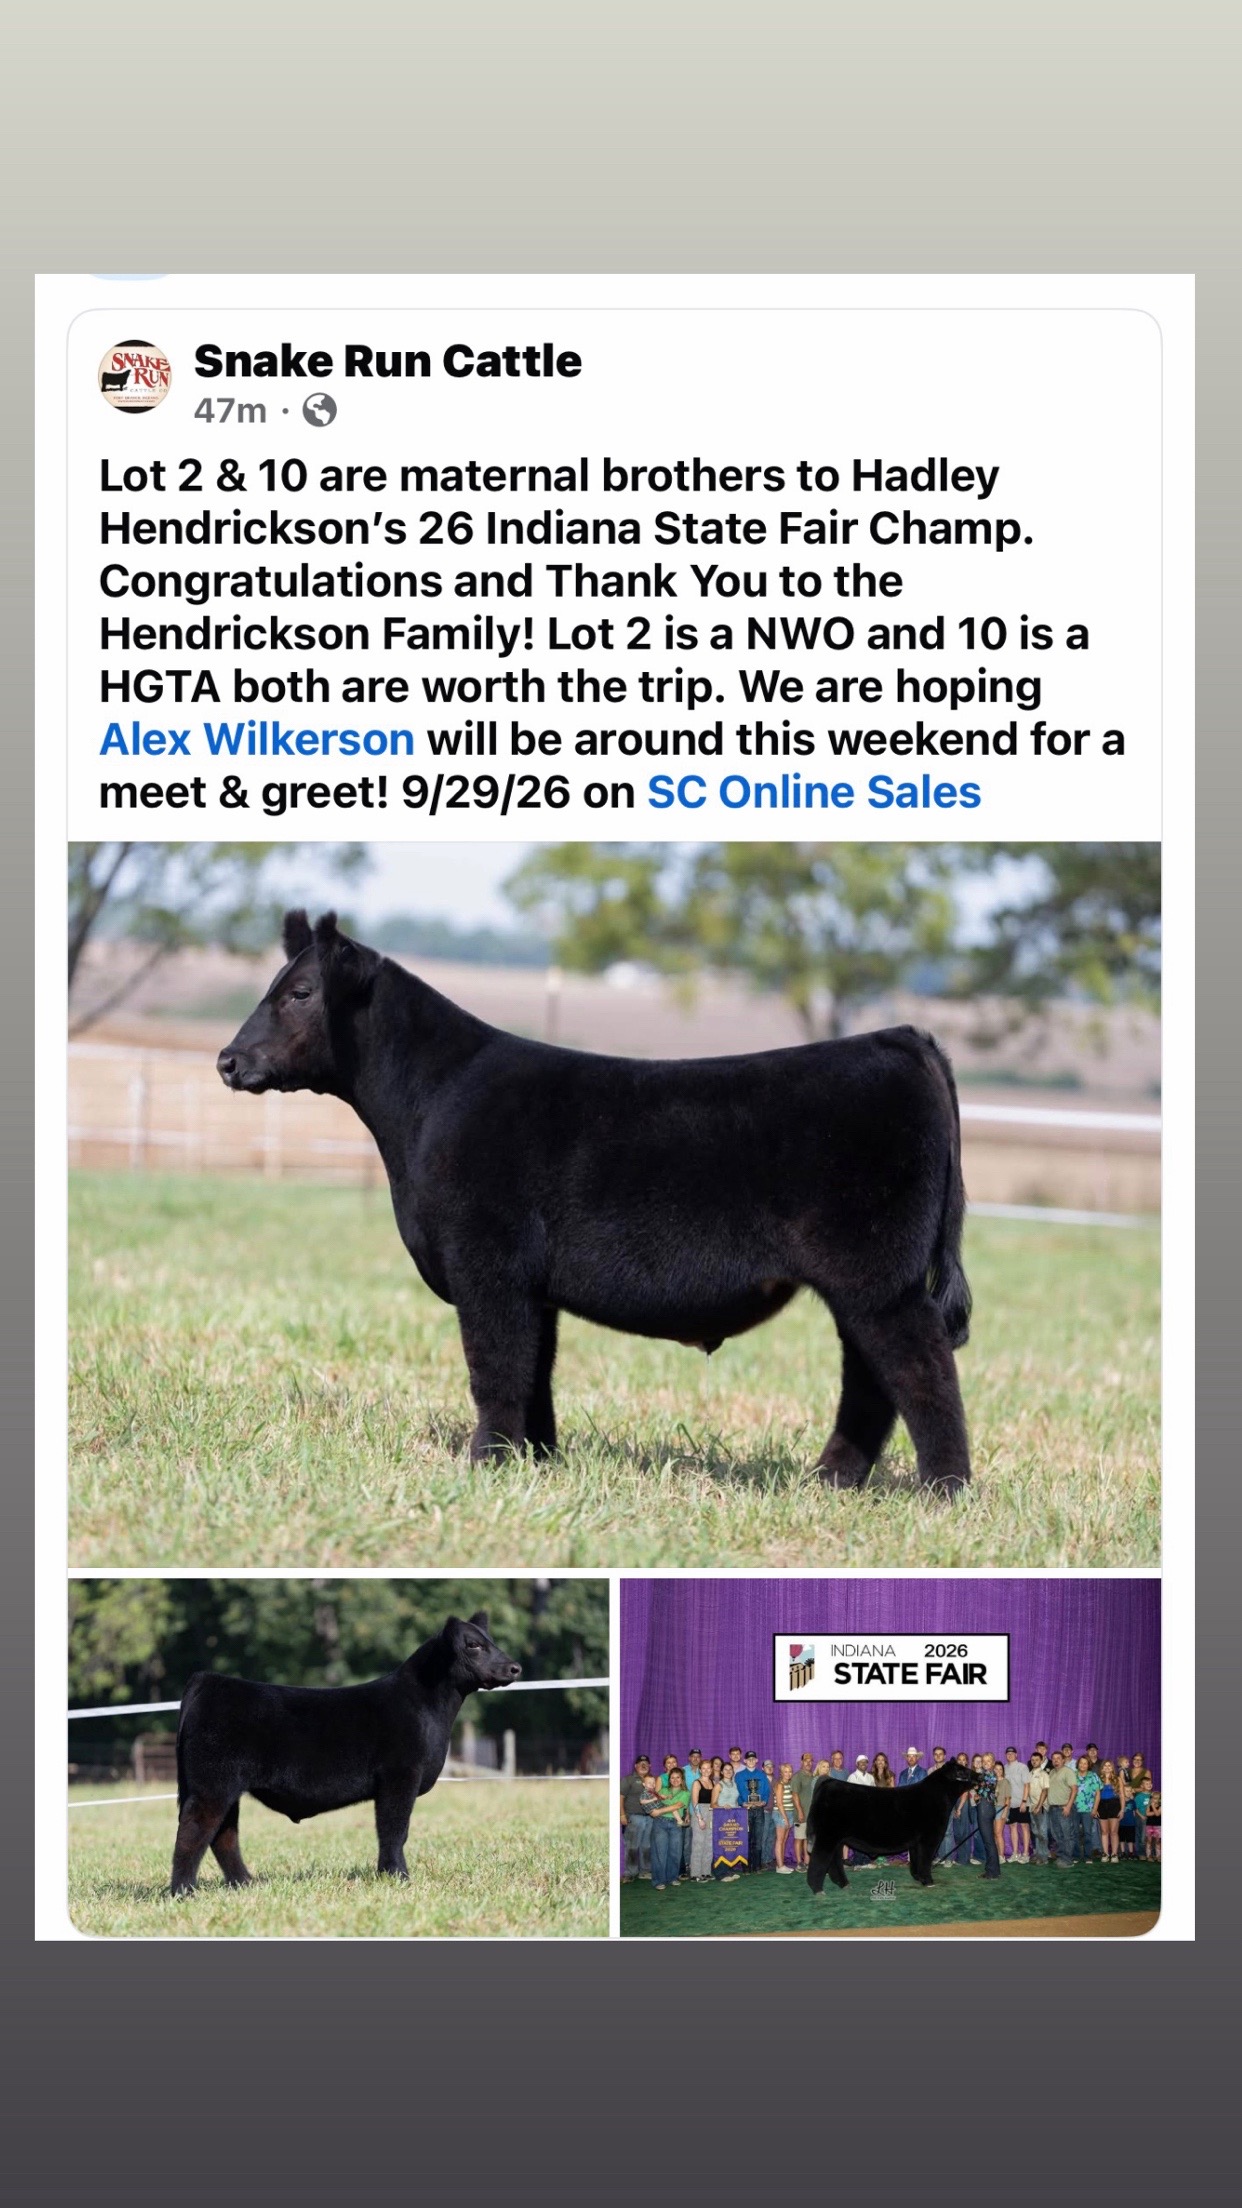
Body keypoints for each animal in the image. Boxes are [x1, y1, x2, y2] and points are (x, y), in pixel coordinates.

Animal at [169, 1609, 520, 1893]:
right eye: (473, 1645)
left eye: (491, 1640)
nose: (514, 1667)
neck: (429, 1706)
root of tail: (207, 1680)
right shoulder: (400, 1776)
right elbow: (394, 1829)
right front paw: (398, 1876)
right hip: (212, 1786)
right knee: (194, 1831)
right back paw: (183, 1891)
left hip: (225, 1788)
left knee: (224, 1835)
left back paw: (245, 1883)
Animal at [217, 910, 973, 1493]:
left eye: (301, 992)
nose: (227, 1060)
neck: (430, 1101)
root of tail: (899, 1038)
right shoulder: (531, 1283)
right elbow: (535, 1373)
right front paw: (536, 1460)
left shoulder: (485, 1263)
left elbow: (495, 1367)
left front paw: (486, 1463)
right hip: (864, 1287)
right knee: (871, 1381)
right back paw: (832, 1480)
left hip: (878, 1280)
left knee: (921, 1370)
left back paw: (944, 1490)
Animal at [805, 1756, 972, 1892]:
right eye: (961, 1771)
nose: (977, 1775)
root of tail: (828, 1782)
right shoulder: (929, 1838)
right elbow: (925, 1861)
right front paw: (928, 1881)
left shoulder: (916, 1842)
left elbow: (916, 1861)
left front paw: (918, 1877)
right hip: (827, 1837)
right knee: (819, 1860)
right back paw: (818, 1889)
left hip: (837, 1839)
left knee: (834, 1862)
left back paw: (844, 1884)